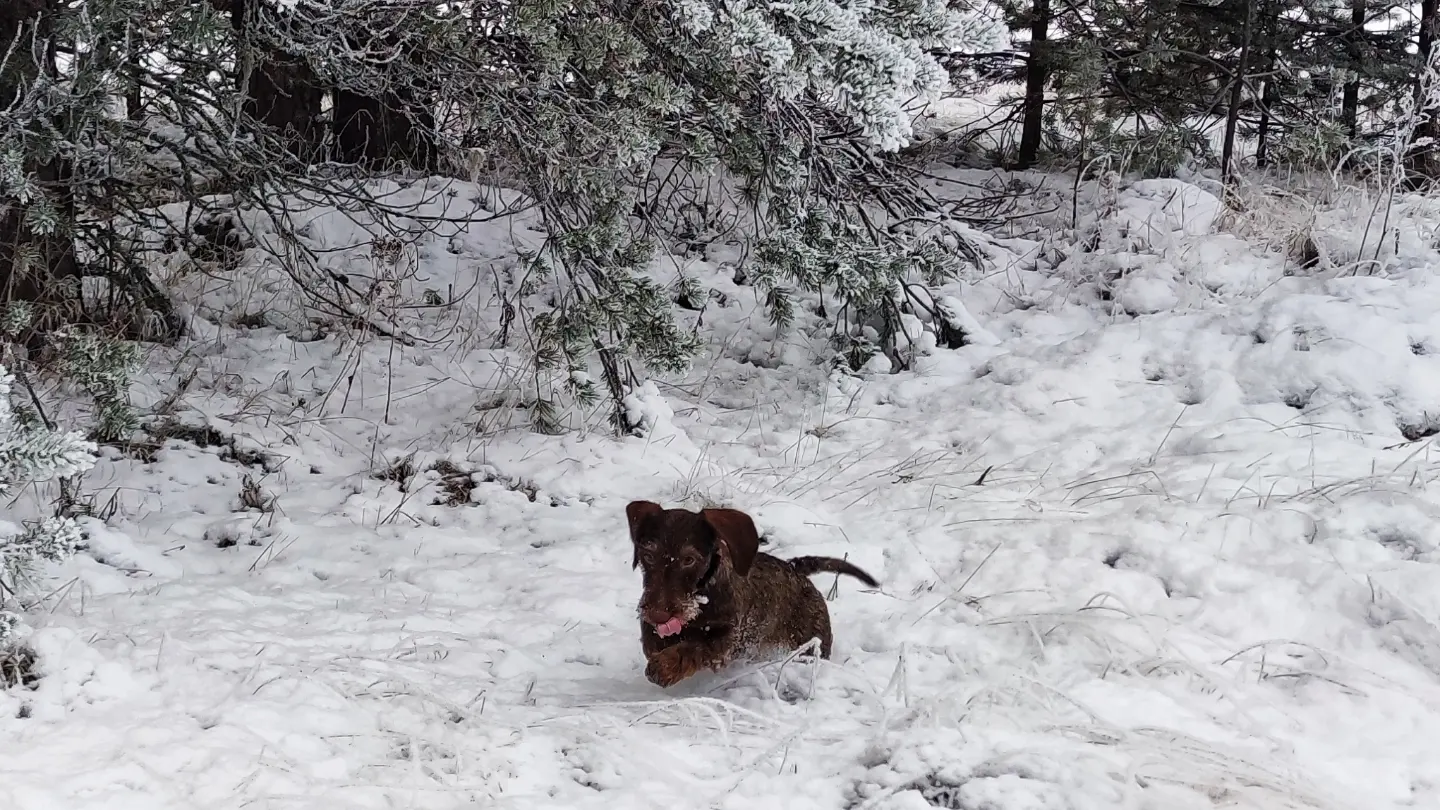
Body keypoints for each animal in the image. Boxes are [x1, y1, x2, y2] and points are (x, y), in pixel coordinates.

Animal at [627, 501, 881, 683]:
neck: (702, 597)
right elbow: (651, 641)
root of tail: (796, 570)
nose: (658, 614)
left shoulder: (728, 640)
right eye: (648, 555)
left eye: (689, 559)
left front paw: (665, 666)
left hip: (810, 646)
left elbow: (695, 647)